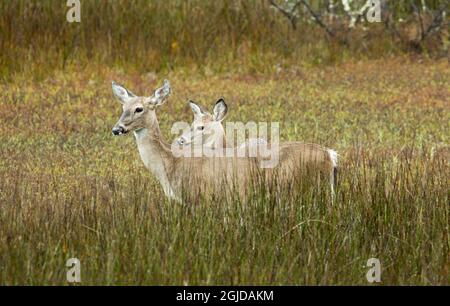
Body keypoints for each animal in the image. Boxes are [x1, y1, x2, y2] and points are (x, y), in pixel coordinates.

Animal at [111, 80, 338, 202]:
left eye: (139, 108)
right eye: (122, 107)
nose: (116, 129)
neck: (170, 165)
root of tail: (331, 155)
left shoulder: (198, 197)